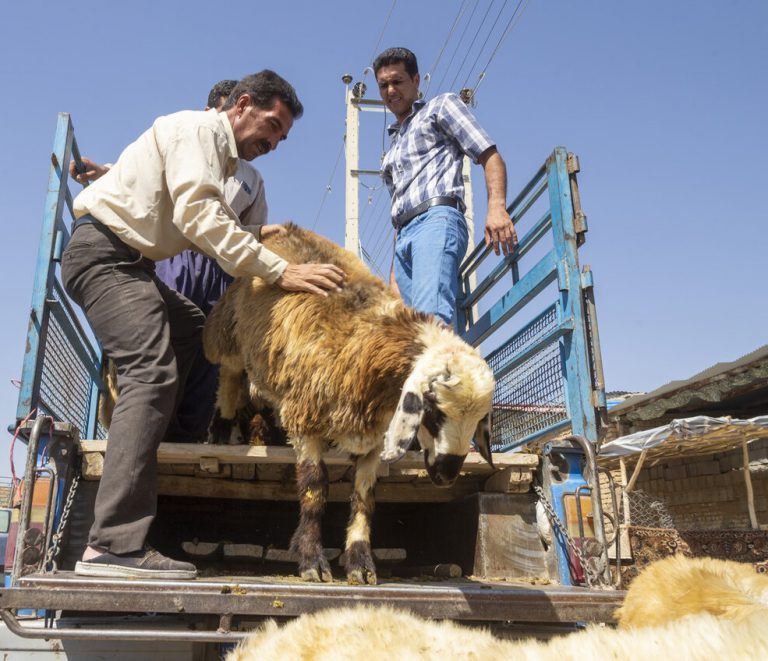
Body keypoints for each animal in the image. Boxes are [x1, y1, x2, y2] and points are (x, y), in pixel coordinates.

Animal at [202, 226, 492, 584]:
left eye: (479, 420)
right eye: (434, 411)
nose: (447, 475)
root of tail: (284, 227)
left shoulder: (373, 440)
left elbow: (364, 499)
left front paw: (360, 563)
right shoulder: (305, 418)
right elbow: (314, 488)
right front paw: (311, 560)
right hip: (227, 333)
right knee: (228, 378)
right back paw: (222, 430)